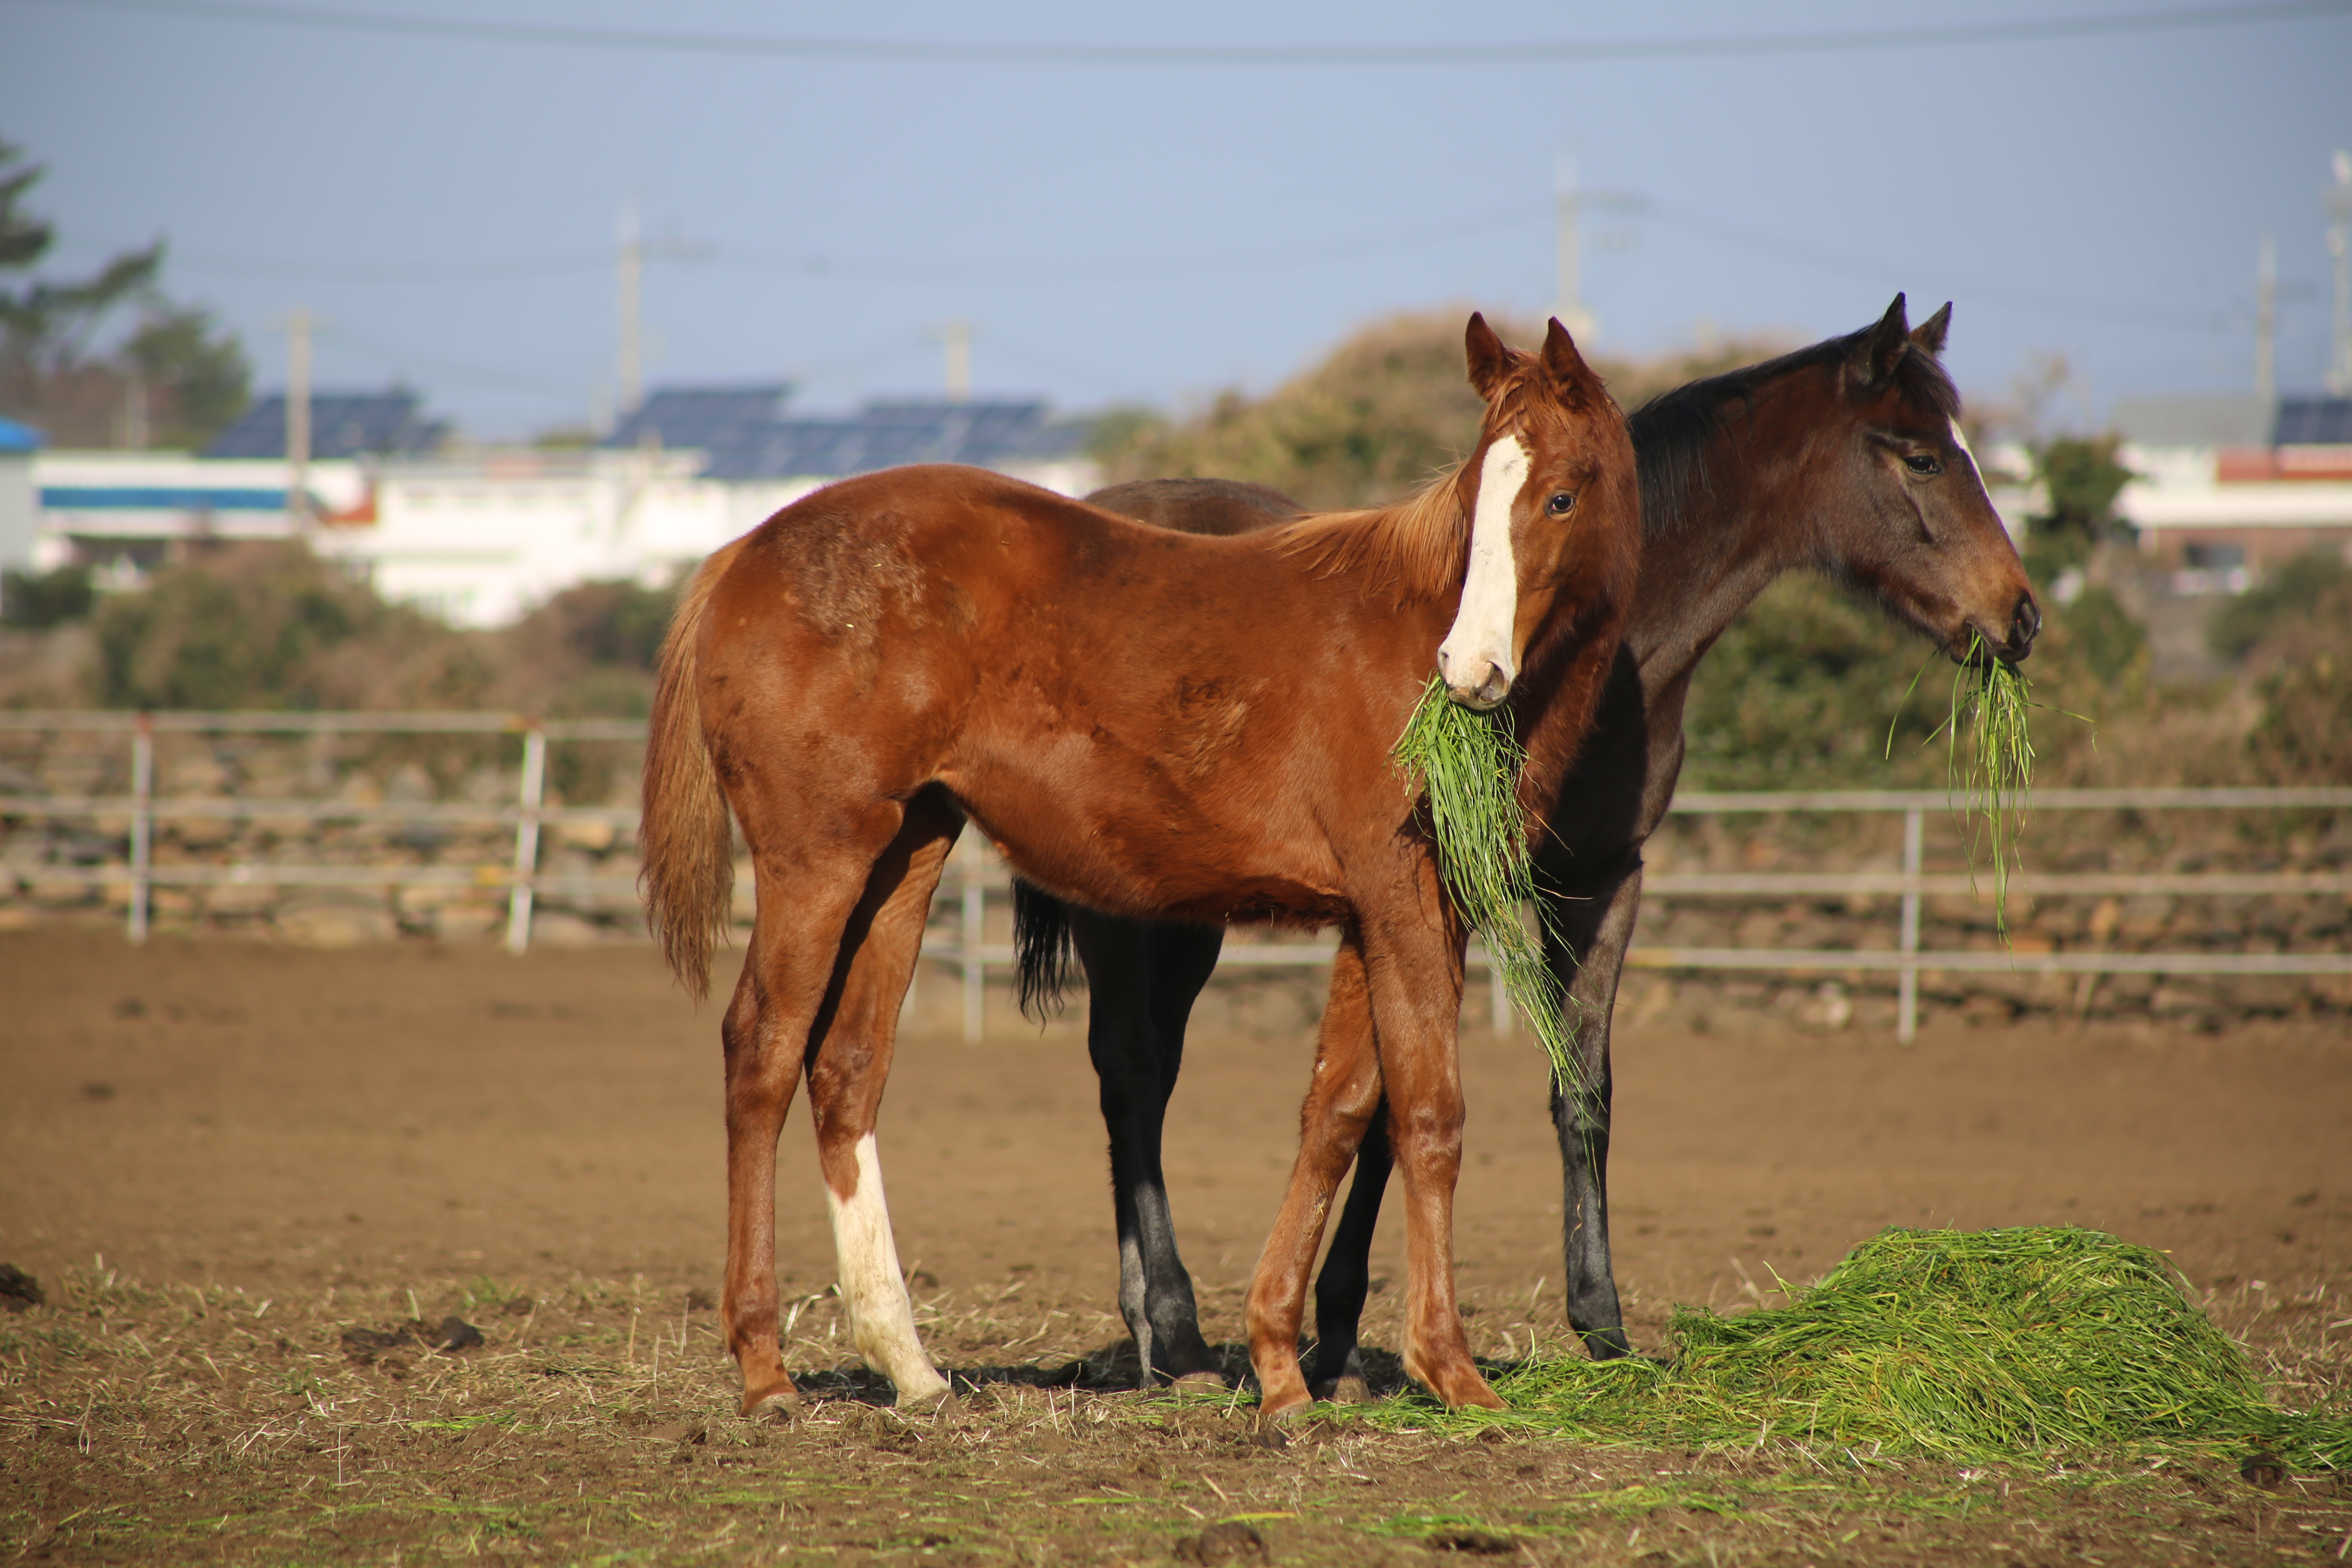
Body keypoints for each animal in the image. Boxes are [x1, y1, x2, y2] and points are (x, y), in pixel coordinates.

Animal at [635, 315, 1646, 1420]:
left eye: (1560, 495)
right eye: (1476, 492)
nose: (1466, 671)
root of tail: (740, 553)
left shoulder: (1378, 917)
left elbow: (1335, 1115)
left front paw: (1282, 1367)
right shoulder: (1404, 905)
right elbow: (1428, 1117)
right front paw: (1449, 1369)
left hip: (904, 855)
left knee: (848, 1068)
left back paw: (911, 1368)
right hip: (817, 859)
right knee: (763, 1054)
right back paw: (764, 1368)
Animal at [1011, 294, 2041, 1401]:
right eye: (1920, 455)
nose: (2018, 615)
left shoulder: (1600, 880)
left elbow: (1575, 1090)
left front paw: (1595, 1320)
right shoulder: (1445, 890)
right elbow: (1398, 1097)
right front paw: (1345, 1334)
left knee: (1139, 1078)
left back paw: (1158, 1331)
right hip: (1133, 913)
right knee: (1133, 1075)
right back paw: (1175, 1331)